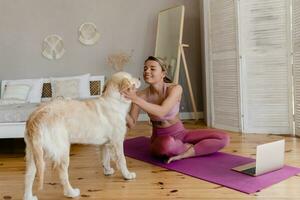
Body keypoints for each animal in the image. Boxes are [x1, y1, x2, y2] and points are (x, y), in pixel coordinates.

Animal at [23, 72, 141, 200]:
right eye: (132, 78)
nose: (140, 78)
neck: (113, 100)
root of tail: (35, 117)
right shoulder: (117, 141)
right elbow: (122, 159)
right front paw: (127, 175)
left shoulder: (105, 144)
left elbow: (105, 158)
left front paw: (107, 171)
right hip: (62, 150)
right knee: (62, 174)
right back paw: (71, 193)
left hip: (34, 154)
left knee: (29, 176)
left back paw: (29, 197)